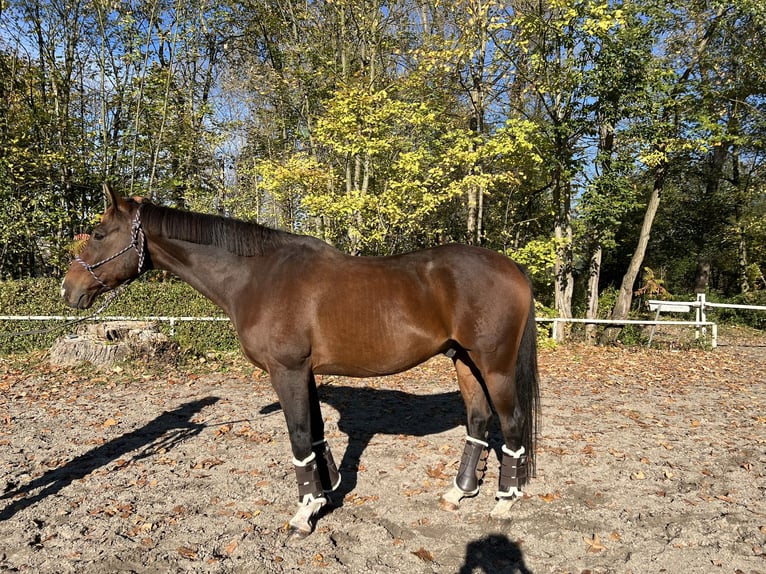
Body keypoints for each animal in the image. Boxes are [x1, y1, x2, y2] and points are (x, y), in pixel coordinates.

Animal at [63, 186, 544, 540]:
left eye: (99, 234)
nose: (69, 290)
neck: (257, 276)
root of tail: (512, 268)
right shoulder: (306, 372)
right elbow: (314, 433)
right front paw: (326, 492)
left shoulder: (288, 371)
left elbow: (297, 437)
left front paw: (303, 514)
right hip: (464, 361)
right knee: (479, 420)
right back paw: (458, 493)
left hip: (495, 366)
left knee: (512, 423)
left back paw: (504, 502)